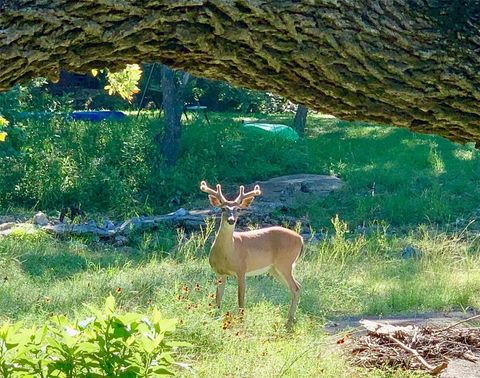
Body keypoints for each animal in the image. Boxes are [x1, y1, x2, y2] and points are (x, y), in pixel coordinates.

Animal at [200, 180, 304, 324]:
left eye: (238, 209)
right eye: (223, 208)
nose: (231, 220)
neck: (228, 253)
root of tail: (301, 239)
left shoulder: (241, 269)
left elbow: (240, 299)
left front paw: (241, 321)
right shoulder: (219, 272)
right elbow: (218, 298)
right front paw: (214, 317)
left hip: (285, 263)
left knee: (295, 287)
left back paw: (288, 321)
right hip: (275, 269)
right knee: (297, 287)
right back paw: (290, 319)